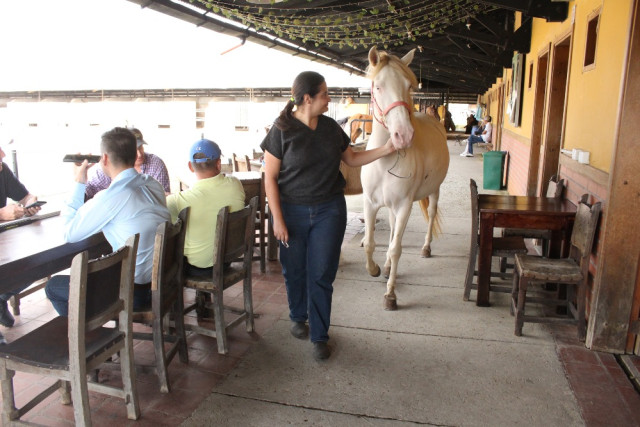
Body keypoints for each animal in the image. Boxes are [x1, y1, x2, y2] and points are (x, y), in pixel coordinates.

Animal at [362, 46, 448, 310]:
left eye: (409, 86)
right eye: (378, 86)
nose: (403, 135)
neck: (384, 160)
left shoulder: (404, 206)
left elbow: (396, 249)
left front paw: (391, 295)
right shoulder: (371, 203)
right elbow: (371, 243)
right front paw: (375, 269)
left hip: (434, 191)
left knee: (430, 214)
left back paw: (426, 248)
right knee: (391, 229)